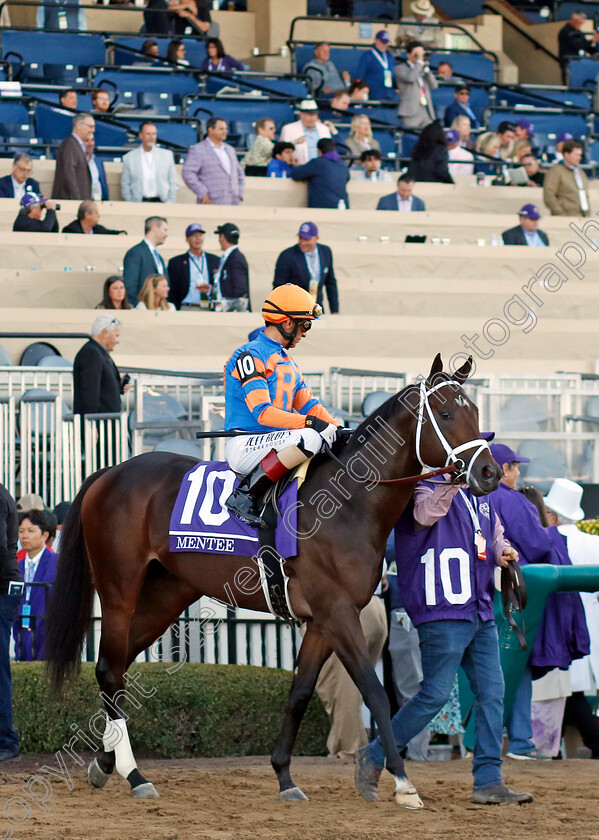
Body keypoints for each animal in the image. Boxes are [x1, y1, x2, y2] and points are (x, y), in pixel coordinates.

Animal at [45, 354, 502, 808]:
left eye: (476, 413)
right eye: (446, 414)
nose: (489, 472)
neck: (350, 502)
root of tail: (109, 472)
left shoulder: (322, 621)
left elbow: (299, 692)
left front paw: (285, 776)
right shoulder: (338, 613)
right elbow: (374, 692)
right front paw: (404, 782)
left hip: (165, 597)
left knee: (117, 667)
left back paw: (106, 763)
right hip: (119, 589)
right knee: (109, 667)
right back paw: (134, 773)